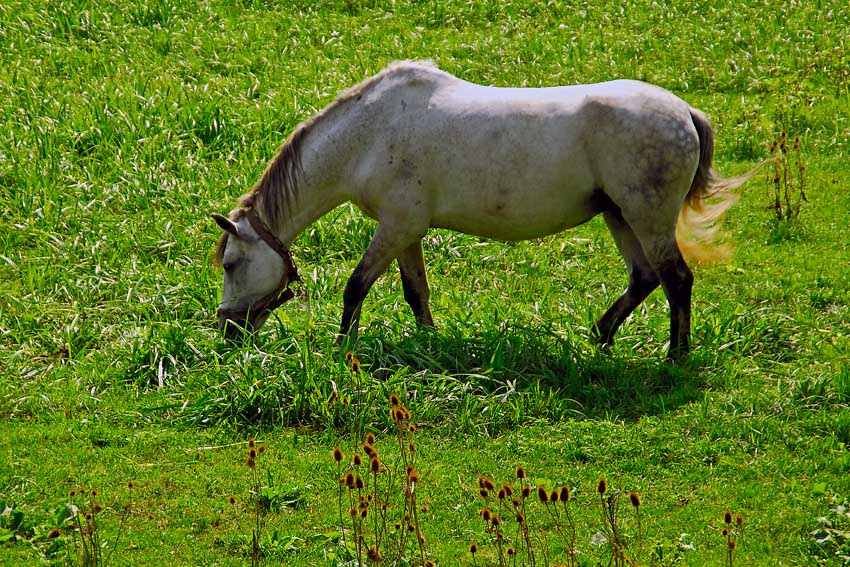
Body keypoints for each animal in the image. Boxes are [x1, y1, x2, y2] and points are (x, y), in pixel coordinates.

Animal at [212, 61, 756, 361]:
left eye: (231, 264)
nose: (228, 330)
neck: (369, 134)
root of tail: (685, 112)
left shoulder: (396, 226)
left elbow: (355, 286)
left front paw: (342, 349)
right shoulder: (407, 230)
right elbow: (415, 292)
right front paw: (428, 345)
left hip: (646, 217)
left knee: (676, 279)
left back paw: (675, 356)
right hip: (620, 216)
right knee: (645, 278)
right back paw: (599, 337)